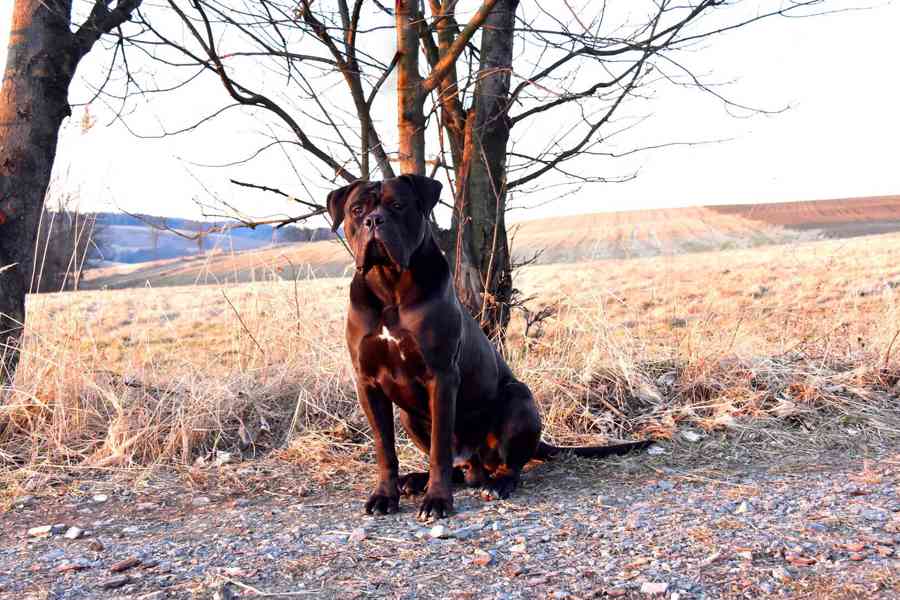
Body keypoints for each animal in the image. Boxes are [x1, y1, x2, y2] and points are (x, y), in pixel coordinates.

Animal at [326, 171, 652, 516]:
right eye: (357, 210)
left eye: (397, 205)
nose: (374, 221)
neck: (389, 286)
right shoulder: (368, 382)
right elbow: (385, 449)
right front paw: (384, 496)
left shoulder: (441, 375)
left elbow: (440, 448)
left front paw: (437, 500)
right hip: (408, 416)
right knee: (459, 467)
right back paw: (416, 479)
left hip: (517, 398)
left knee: (508, 464)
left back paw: (497, 484)